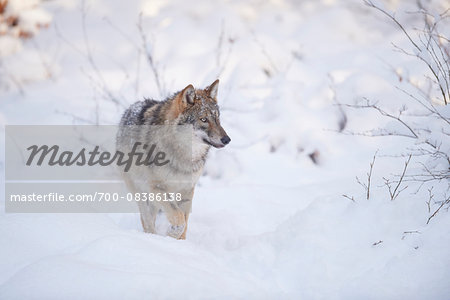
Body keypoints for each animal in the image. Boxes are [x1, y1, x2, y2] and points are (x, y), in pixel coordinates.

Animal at [117, 79, 229, 239]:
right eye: (204, 119)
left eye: (217, 118)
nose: (227, 139)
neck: (184, 157)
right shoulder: (156, 187)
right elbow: (179, 218)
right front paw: (171, 235)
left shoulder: (188, 190)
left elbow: (184, 220)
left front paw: (178, 240)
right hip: (141, 192)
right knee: (147, 220)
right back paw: (152, 237)